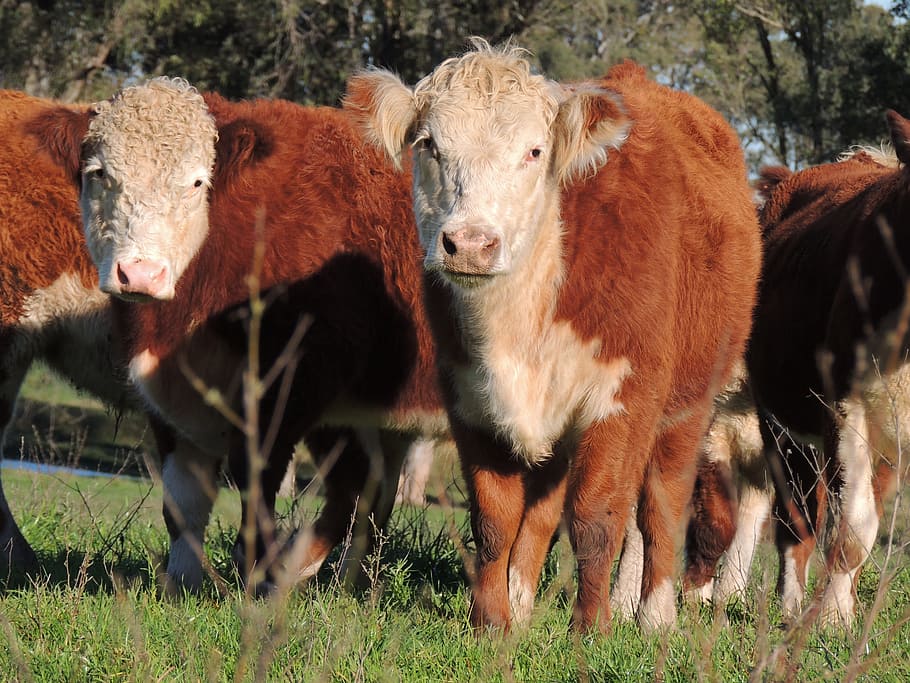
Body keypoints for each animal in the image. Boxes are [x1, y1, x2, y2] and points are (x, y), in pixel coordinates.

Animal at [344, 39, 762, 632]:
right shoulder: (470, 397)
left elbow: (596, 517)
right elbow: (495, 519)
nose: (470, 244)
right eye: (428, 145)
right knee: (544, 508)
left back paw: (655, 614)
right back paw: (525, 601)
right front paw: (491, 622)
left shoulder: (621, 400)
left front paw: (591, 629)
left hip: (688, 405)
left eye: (535, 152)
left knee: (660, 504)